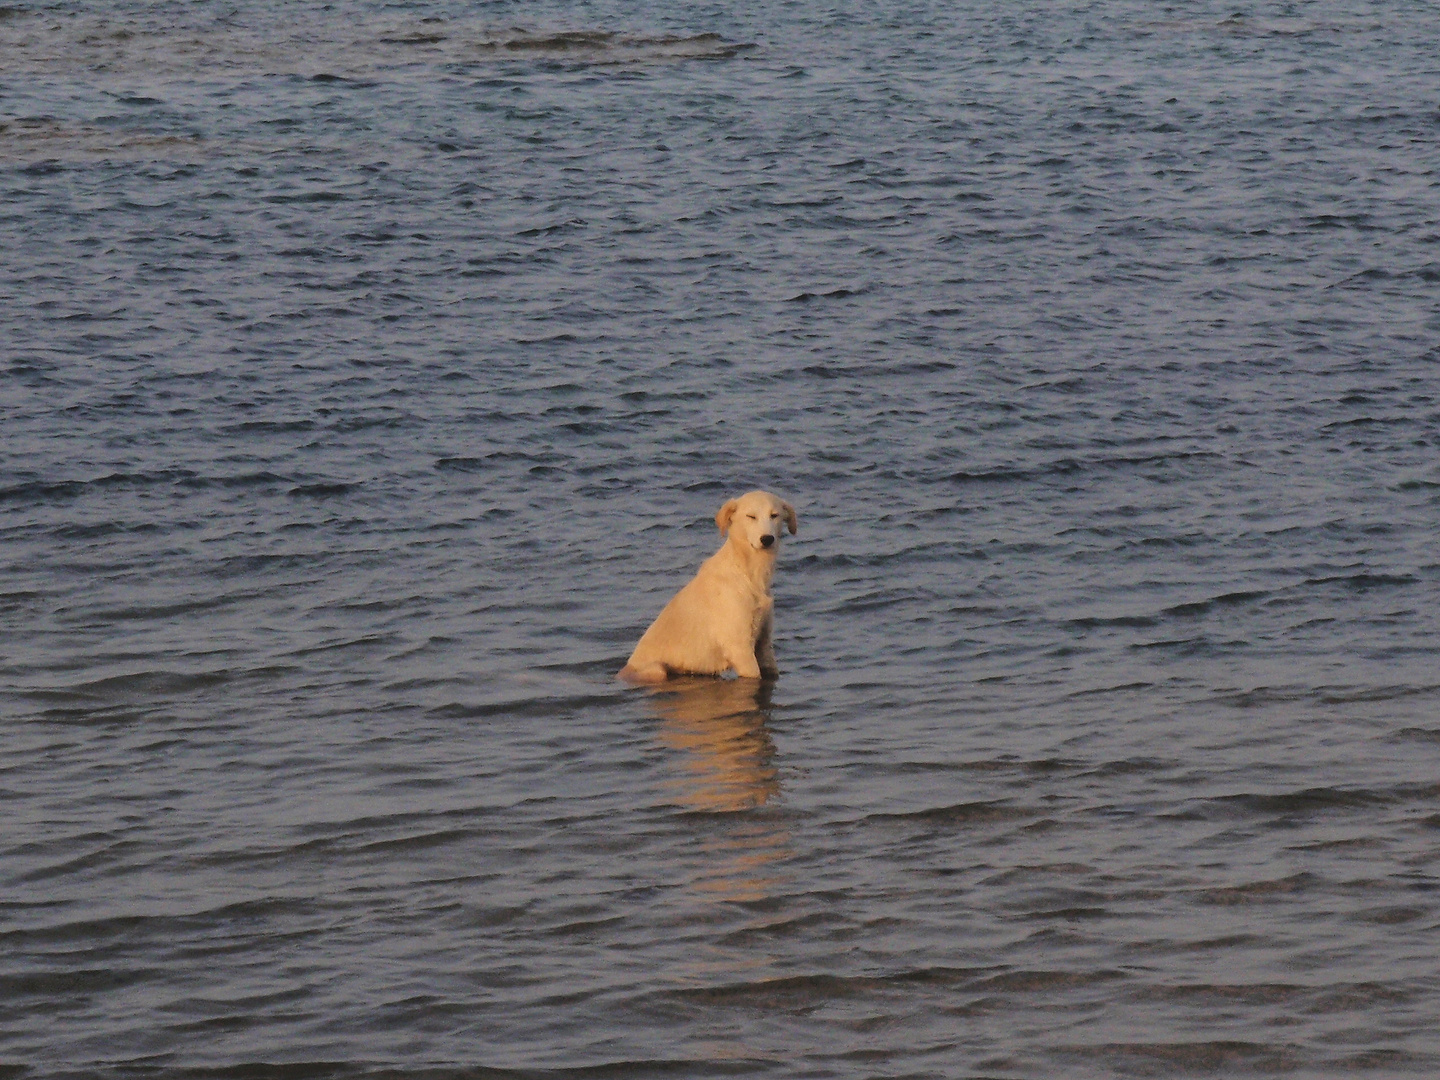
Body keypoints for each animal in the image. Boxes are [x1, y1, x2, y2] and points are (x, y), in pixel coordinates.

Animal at [619, 492, 800, 685]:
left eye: (774, 515)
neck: (747, 572)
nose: (767, 539)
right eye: (751, 516)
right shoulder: (740, 648)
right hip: (656, 669)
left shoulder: (763, 644)